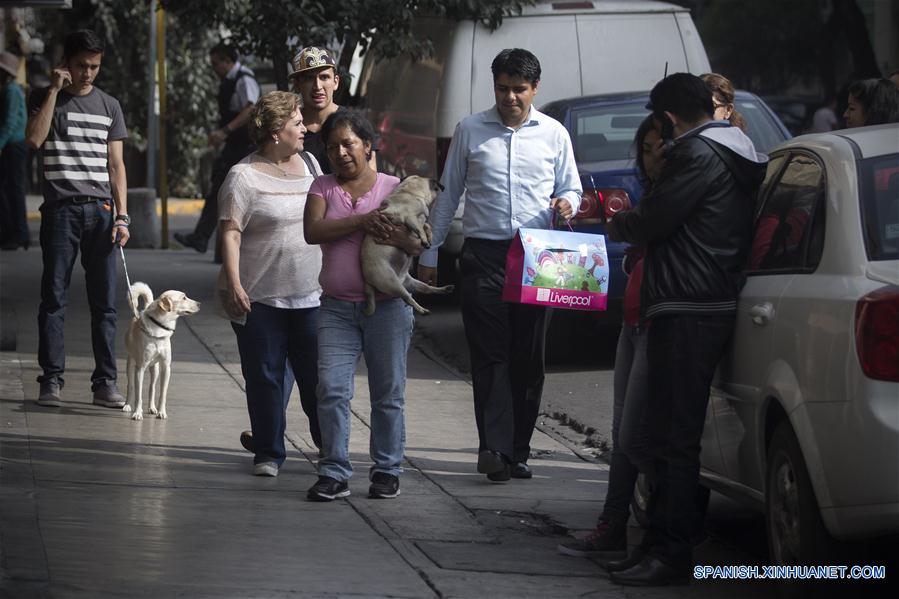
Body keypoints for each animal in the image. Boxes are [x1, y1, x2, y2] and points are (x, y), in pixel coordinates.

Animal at [122, 282, 200, 420]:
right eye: (184, 298)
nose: (199, 304)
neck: (159, 326)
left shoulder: (166, 367)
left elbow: (162, 394)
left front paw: (161, 412)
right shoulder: (140, 368)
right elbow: (138, 394)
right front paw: (137, 412)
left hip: (155, 369)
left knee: (152, 387)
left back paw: (152, 408)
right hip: (130, 364)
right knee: (130, 385)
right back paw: (127, 405)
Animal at [360, 176, 458, 316]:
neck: (410, 192)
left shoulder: (420, 220)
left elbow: (426, 226)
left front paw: (428, 237)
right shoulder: (410, 217)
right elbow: (419, 228)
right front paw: (424, 239)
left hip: (411, 283)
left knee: (427, 288)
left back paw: (444, 289)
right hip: (391, 282)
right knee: (407, 298)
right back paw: (421, 309)